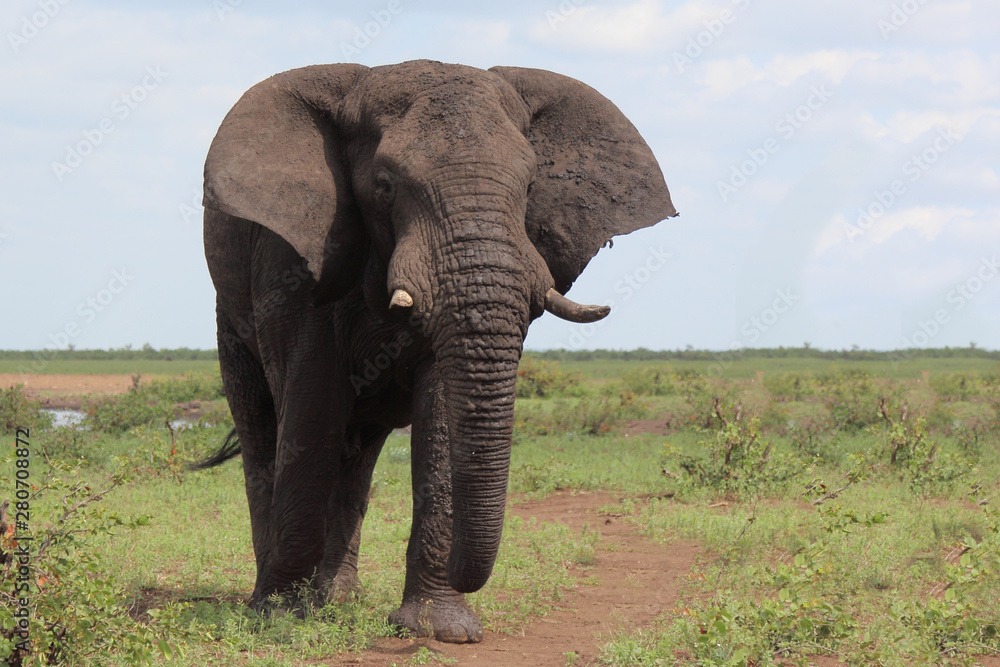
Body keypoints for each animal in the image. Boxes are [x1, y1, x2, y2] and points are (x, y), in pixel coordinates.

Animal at [194, 59, 677, 643]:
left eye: (531, 185)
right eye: (383, 186)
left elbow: (442, 413)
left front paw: (440, 630)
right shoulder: (292, 256)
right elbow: (311, 407)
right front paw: (279, 619)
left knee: (358, 451)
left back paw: (336, 600)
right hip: (229, 318)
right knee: (266, 430)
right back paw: (282, 597)